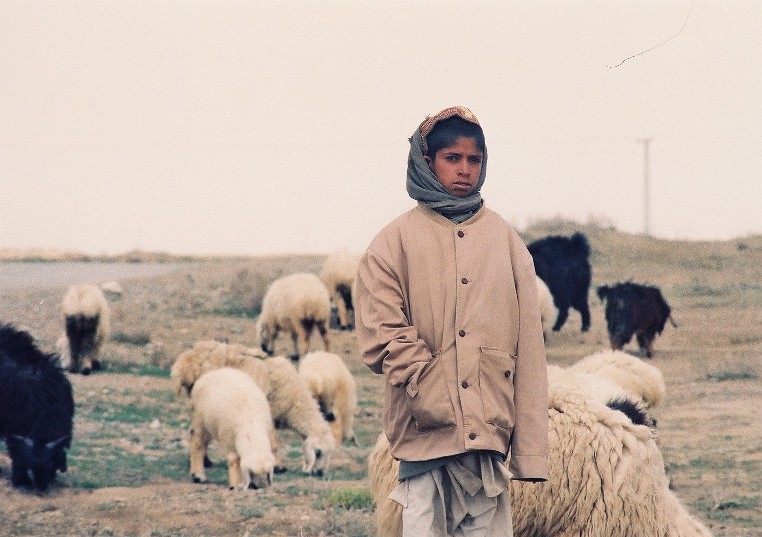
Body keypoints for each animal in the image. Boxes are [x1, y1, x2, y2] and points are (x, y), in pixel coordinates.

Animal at [0, 322, 74, 490]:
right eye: (31, 467)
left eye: (51, 464)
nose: (42, 487)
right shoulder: (13, 429)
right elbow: (15, 453)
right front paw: (21, 480)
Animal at [175, 342, 336, 476]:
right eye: (318, 452)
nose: (320, 473)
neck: (295, 405)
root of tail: (187, 362)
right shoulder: (269, 412)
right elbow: (274, 444)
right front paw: (279, 467)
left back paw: (205, 462)